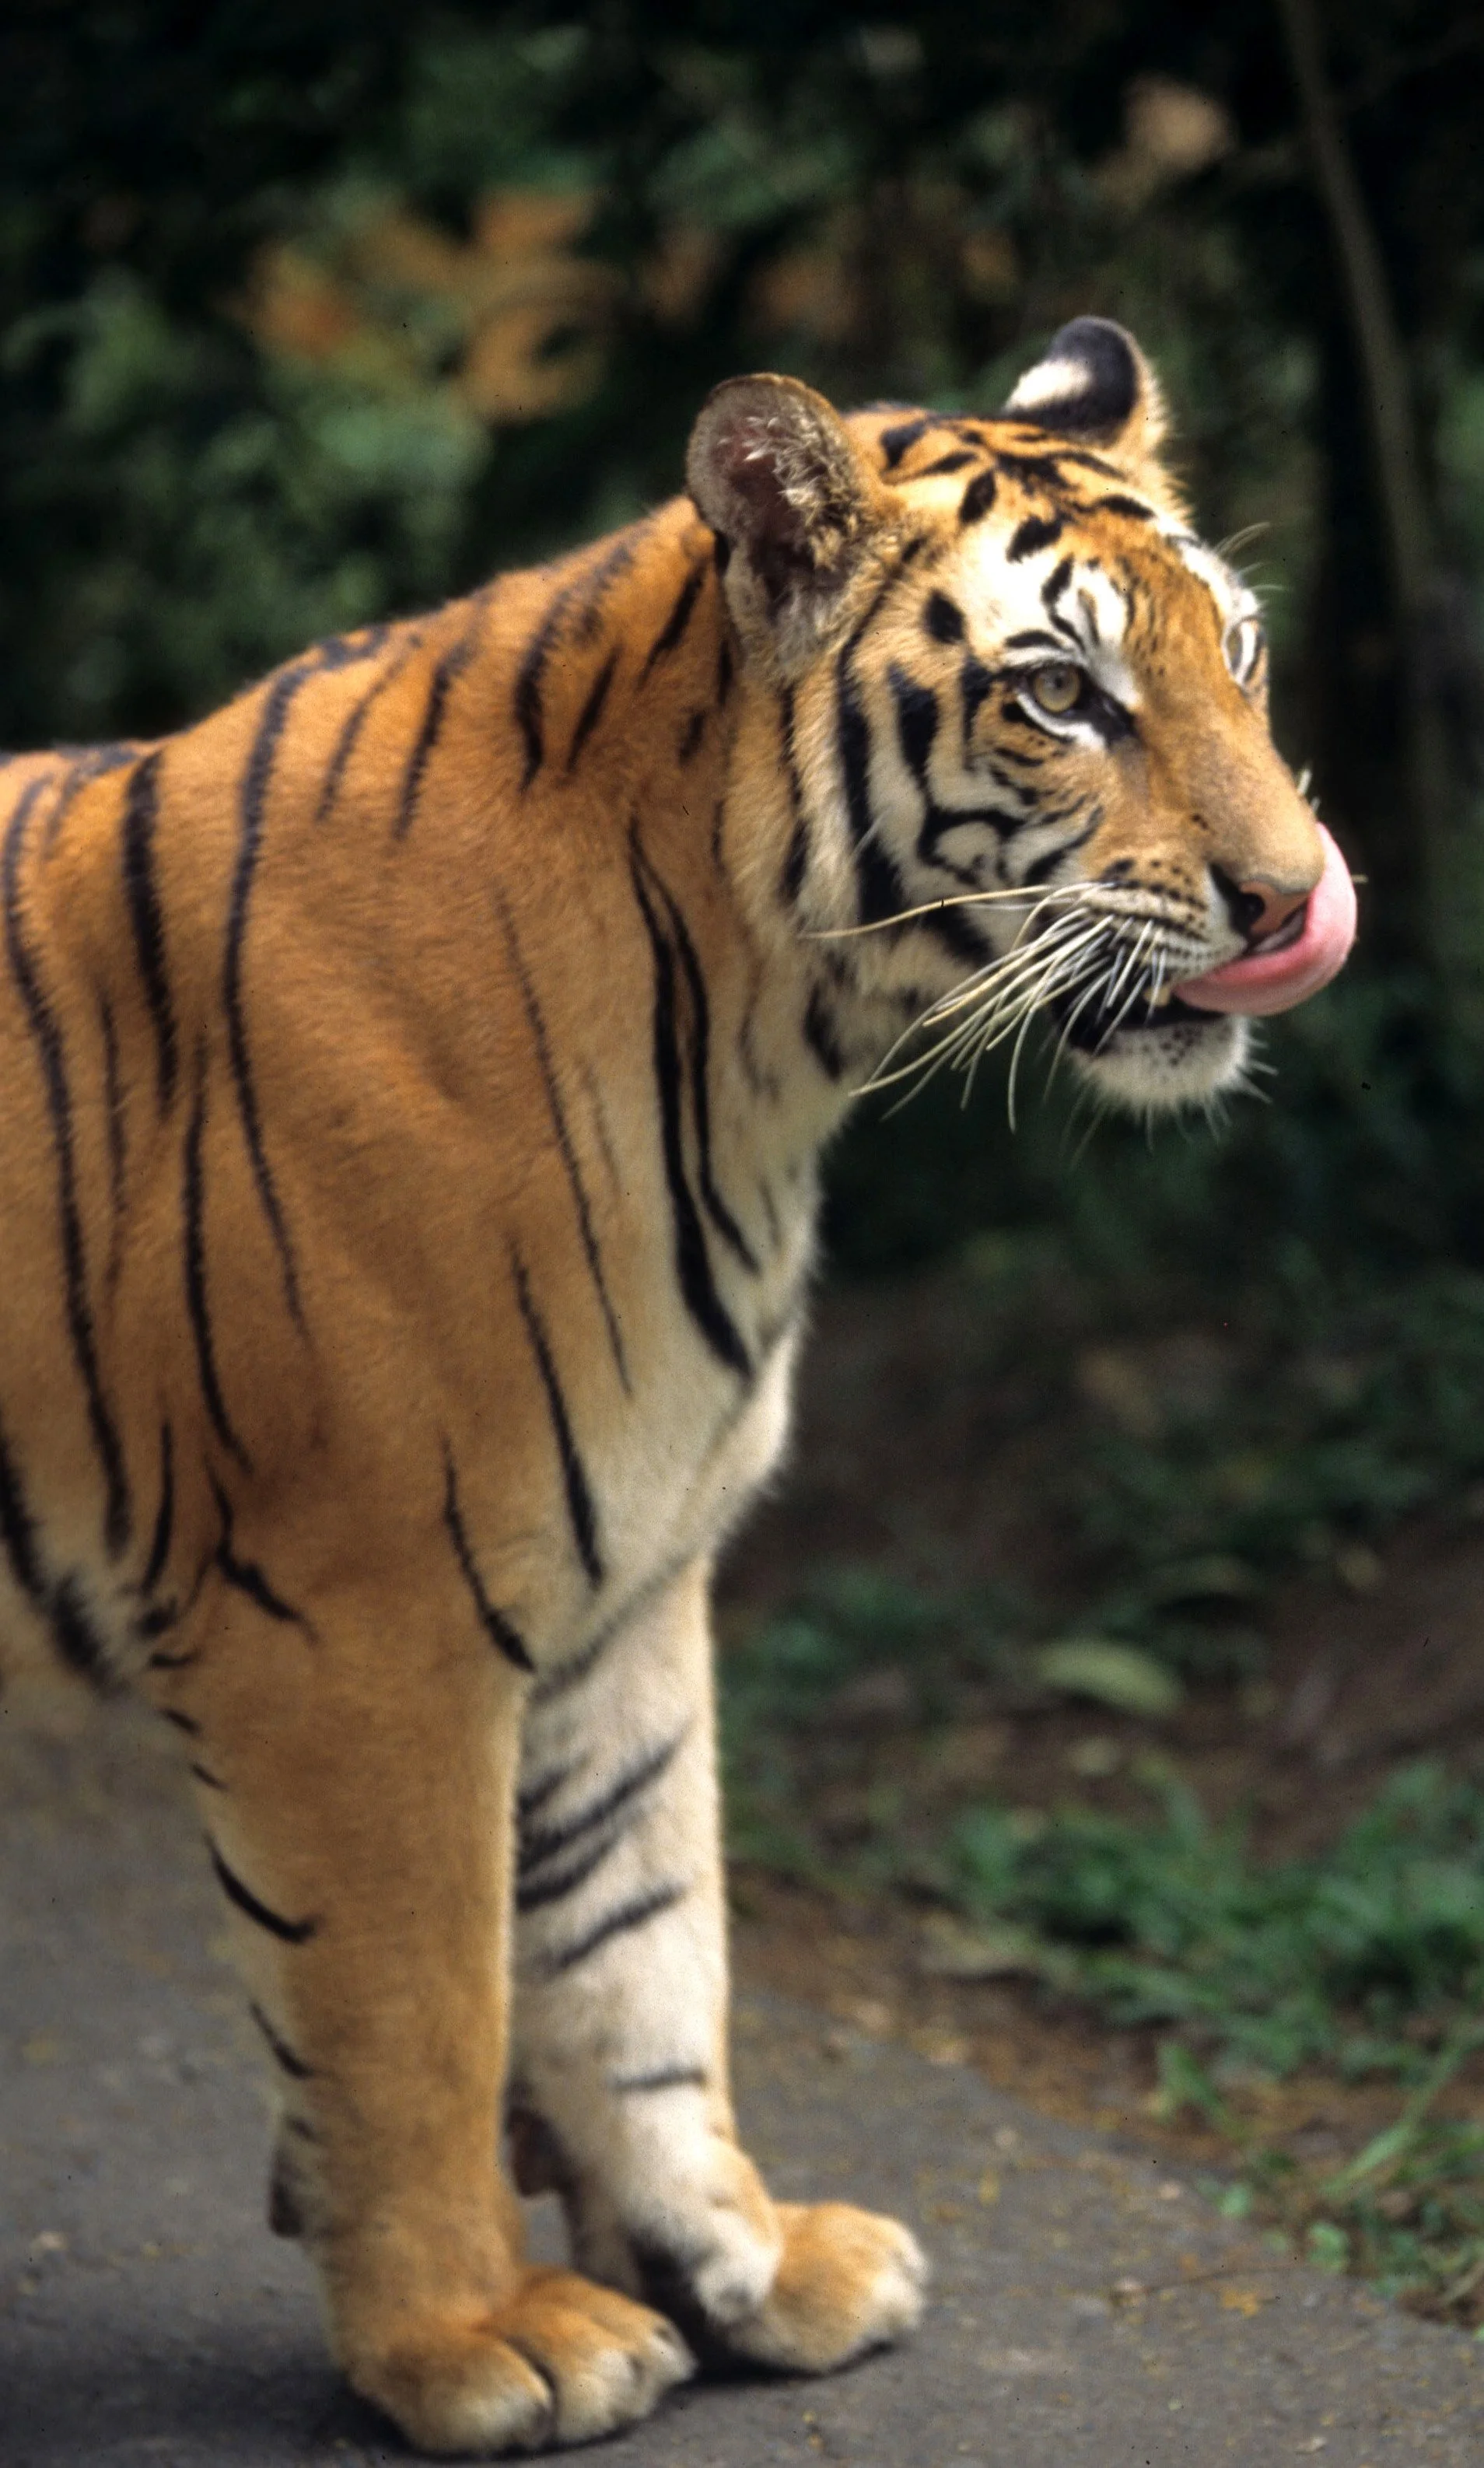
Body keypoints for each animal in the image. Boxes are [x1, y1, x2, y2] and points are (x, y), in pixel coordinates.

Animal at [0, 317, 1349, 2454]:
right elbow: (420, 2004)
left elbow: (639, 1954)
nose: (1298, 901)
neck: (761, 1048)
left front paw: (741, 2263)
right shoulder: (356, 1626)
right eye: (1060, 692)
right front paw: (473, 2340)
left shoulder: (622, 1579)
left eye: (1240, 654)